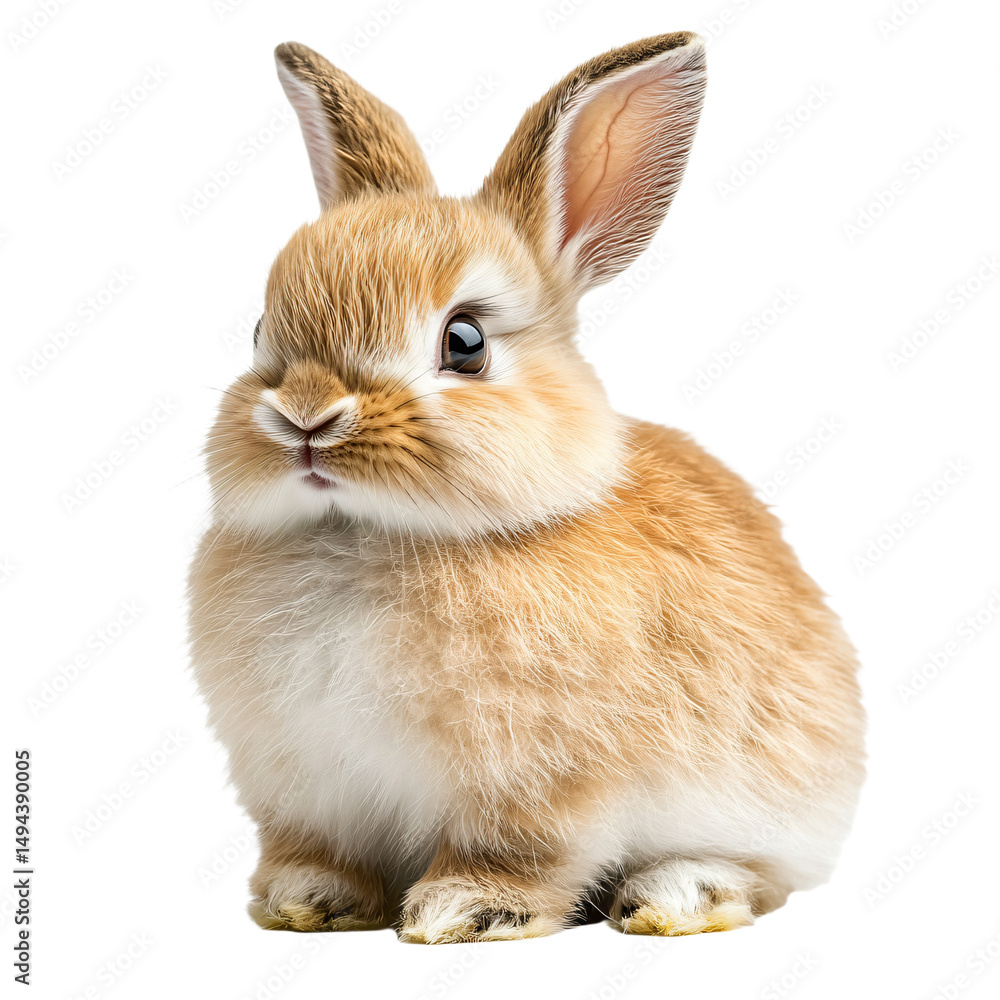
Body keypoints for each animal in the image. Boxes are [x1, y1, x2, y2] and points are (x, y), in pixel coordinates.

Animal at [187, 32, 865, 944]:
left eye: (465, 342)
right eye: (262, 330)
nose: (305, 417)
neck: (363, 532)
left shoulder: (540, 787)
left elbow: (516, 853)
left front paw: (461, 911)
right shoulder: (305, 788)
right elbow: (321, 850)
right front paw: (306, 901)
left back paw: (675, 897)